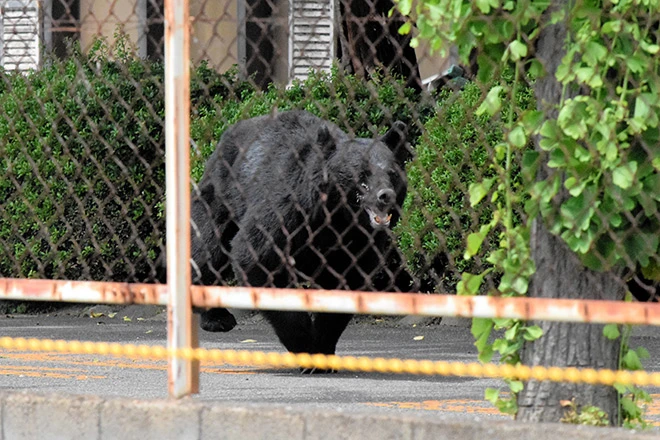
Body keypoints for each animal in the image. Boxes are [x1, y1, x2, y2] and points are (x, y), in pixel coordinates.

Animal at [190, 110, 409, 361]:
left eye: (392, 173)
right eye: (362, 177)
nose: (386, 195)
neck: (335, 216)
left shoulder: (358, 241)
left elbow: (347, 281)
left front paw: (322, 348)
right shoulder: (287, 209)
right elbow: (257, 255)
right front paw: (304, 346)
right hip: (224, 193)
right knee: (209, 245)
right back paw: (216, 317)